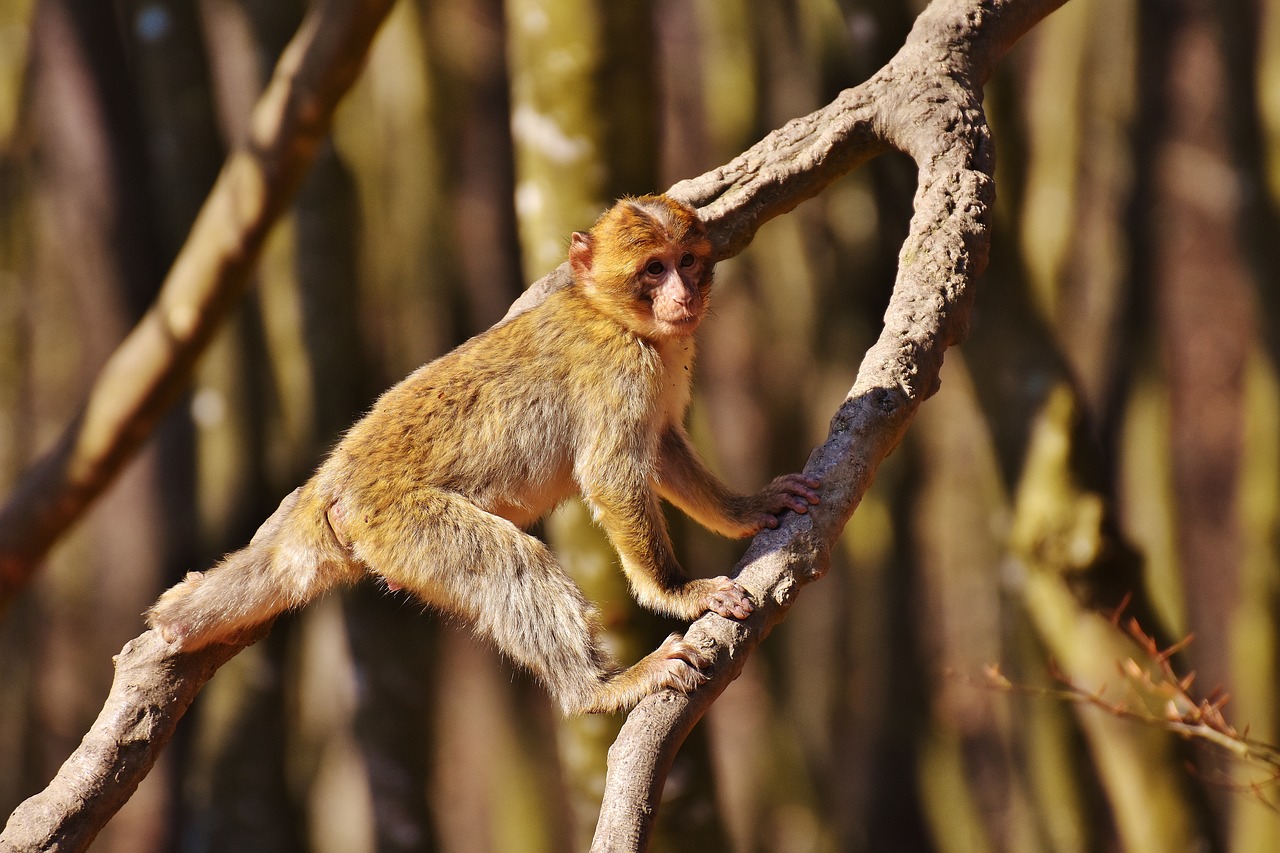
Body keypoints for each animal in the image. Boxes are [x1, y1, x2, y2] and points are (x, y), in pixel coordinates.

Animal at [147, 192, 819, 712]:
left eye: (688, 262)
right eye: (654, 269)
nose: (684, 295)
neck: (618, 318)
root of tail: (333, 483)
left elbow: (662, 448)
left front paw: (744, 509)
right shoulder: (621, 368)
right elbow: (612, 473)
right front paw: (678, 591)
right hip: (398, 519)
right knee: (509, 563)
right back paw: (594, 689)